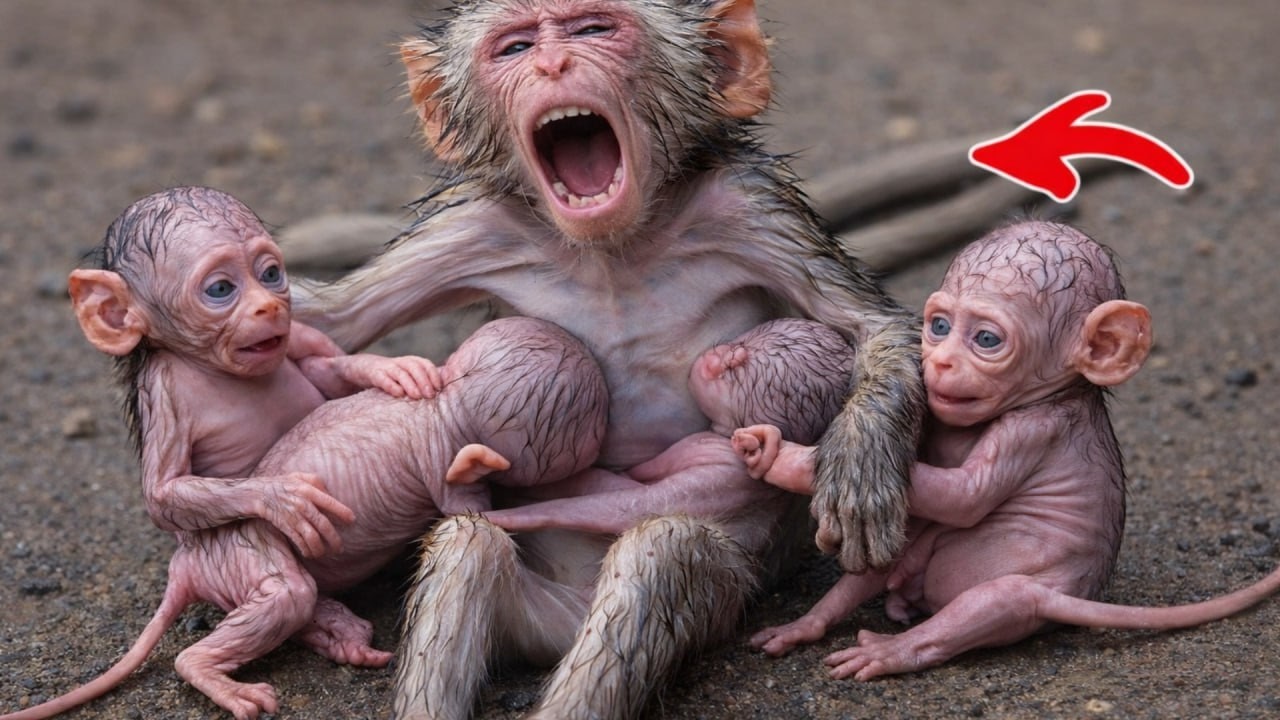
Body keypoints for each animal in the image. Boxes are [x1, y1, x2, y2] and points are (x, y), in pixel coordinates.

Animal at [286, 2, 926, 716]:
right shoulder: (472, 225)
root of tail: (561, 627)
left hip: (715, 598)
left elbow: (873, 325)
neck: (612, 249)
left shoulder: (752, 205)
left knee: (662, 551)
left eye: (594, 30)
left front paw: (862, 465)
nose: (551, 64)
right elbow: (333, 318)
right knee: (468, 544)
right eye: (514, 47)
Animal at [733, 220, 1280, 681]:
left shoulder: (1033, 429)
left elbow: (964, 498)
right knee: (891, 555)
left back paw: (895, 649)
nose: (942, 363)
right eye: (938, 327)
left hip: (1029, 596)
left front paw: (787, 457)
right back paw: (812, 624)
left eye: (986, 339)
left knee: (988, 604)